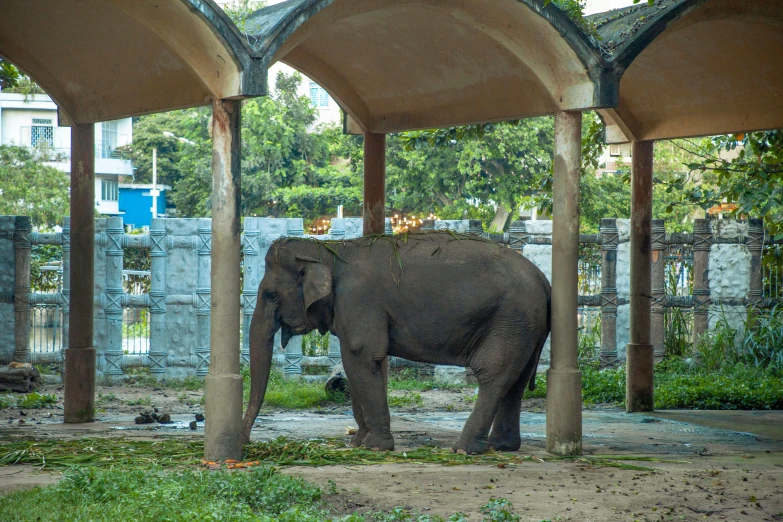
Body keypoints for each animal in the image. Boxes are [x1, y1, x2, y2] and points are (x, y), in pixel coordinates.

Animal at [242, 230, 556, 452]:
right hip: (527, 327)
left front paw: (373, 446)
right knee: (517, 379)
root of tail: (545, 281)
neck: (331, 249)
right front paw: (357, 443)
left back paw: (463, 449)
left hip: (511, 318)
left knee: (493, 374)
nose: (246, 442)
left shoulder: (359, 300)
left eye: (270, 294)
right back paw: (501, 446)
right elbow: (359, 365)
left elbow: (361, 356)